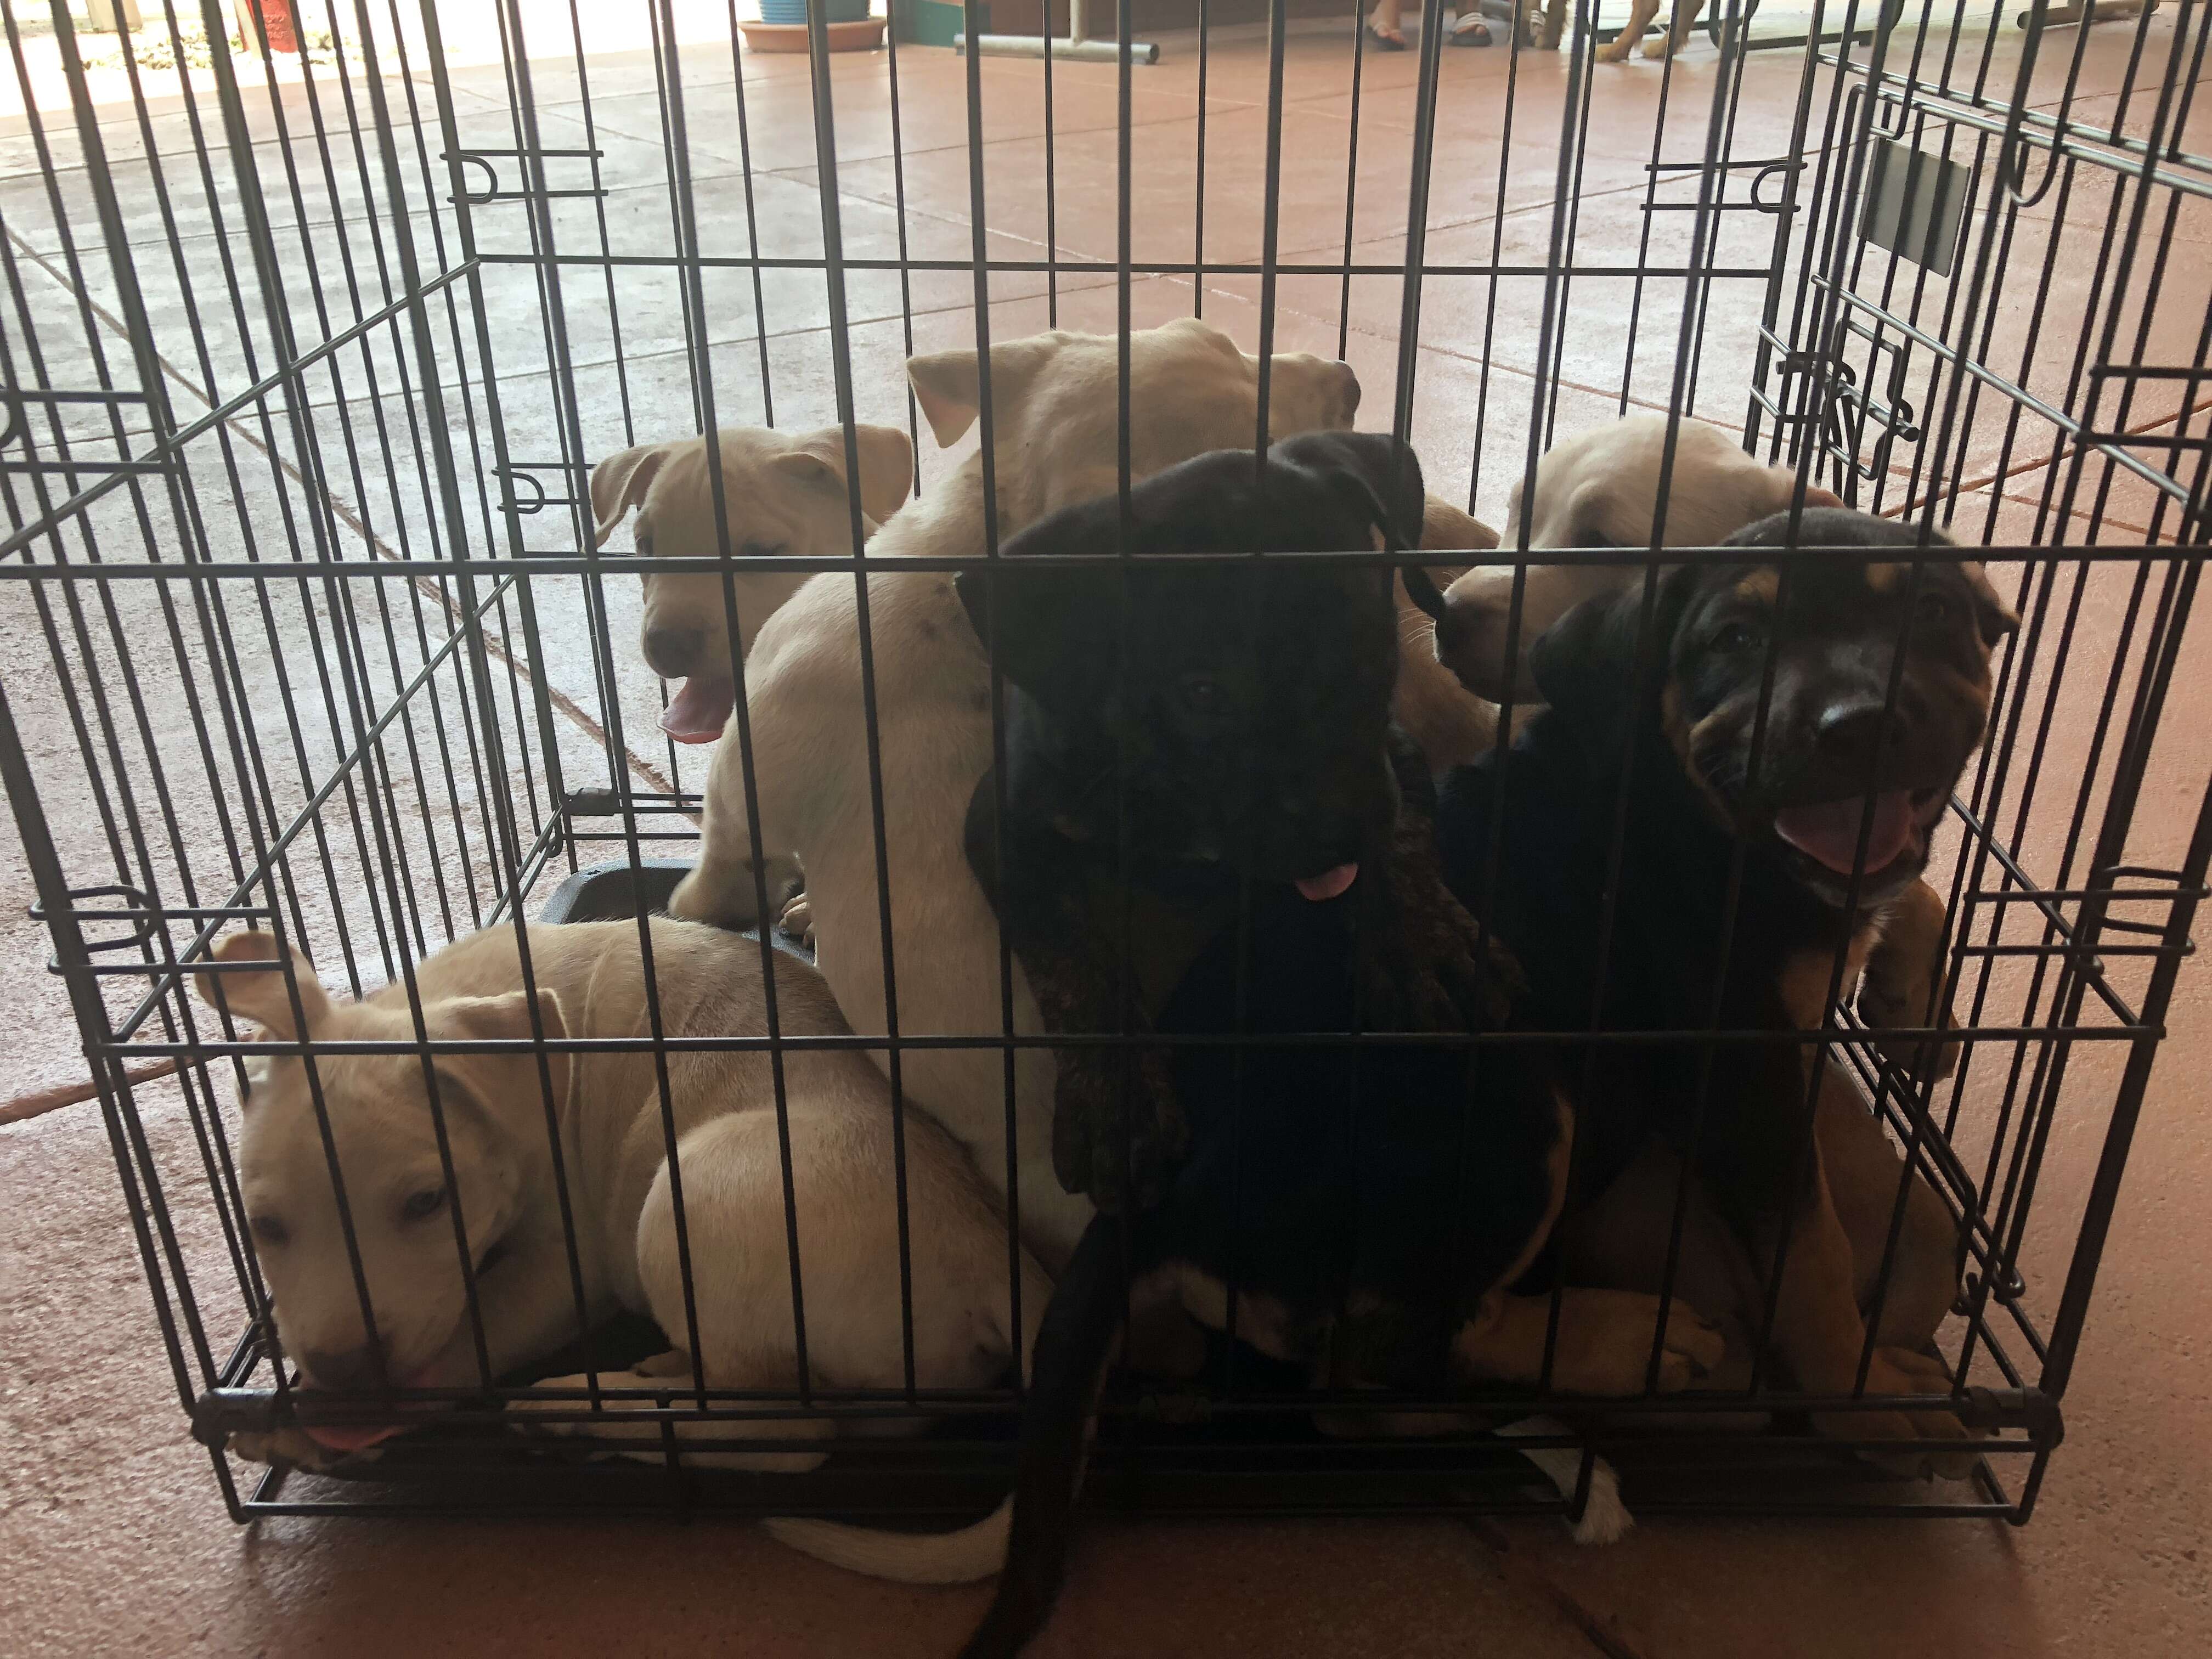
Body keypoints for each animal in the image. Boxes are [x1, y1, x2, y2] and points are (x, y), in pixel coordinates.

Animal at [196, 924, 1044, 1583]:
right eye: (264, 1226)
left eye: (427, 1202)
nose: (344, 1376)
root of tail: (993, 1251)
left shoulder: (561, 1266)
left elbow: (471, 1331)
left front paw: (306, 1426)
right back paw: (655, 1374)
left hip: (682, 1197)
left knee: (786, 1434)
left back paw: (577, 1408)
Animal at [663, 314, 1362, 1274]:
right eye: (1210, 335)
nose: (1350, 378)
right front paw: (800, 908)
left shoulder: (744, 777)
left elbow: (721, 863)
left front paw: (692, 908)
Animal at [1433, 511, 2026, 1477]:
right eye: (1735, 639)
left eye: (1934, 611)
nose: (1861, 726)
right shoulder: (1746, 1077)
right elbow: (1811, 1257)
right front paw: (1863, 1404)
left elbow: (1909, 892)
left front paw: (1919, 1012)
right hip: (1522, 1104)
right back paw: (1633, 1349)